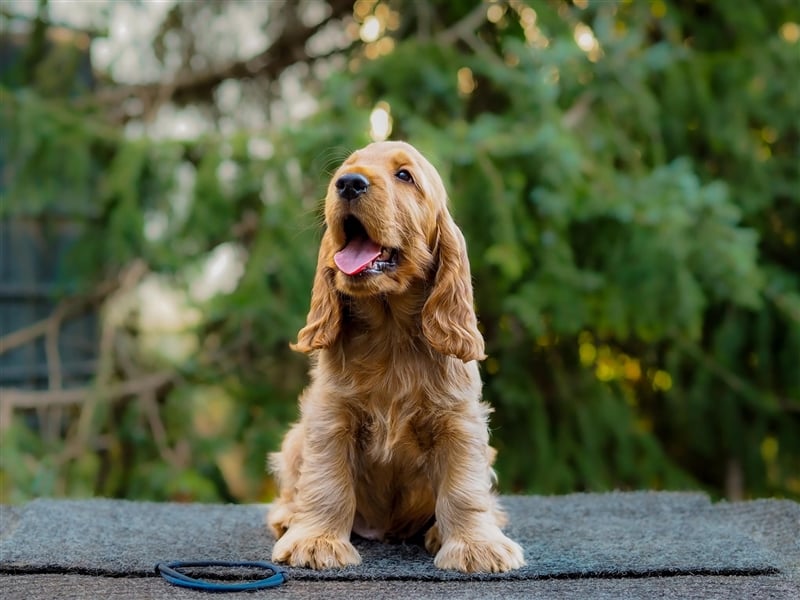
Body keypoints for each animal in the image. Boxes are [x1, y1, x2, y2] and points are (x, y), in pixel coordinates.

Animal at [268, 139, 524, 572]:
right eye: (346, 169)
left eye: (405, 176)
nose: (348, 183)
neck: (391, 332)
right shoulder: (331, 417)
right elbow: (325, 481)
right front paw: (316, 541)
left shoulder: (459, 422)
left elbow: (464, 489)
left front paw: (476, 545)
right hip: (293, 441)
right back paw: (289, 518)